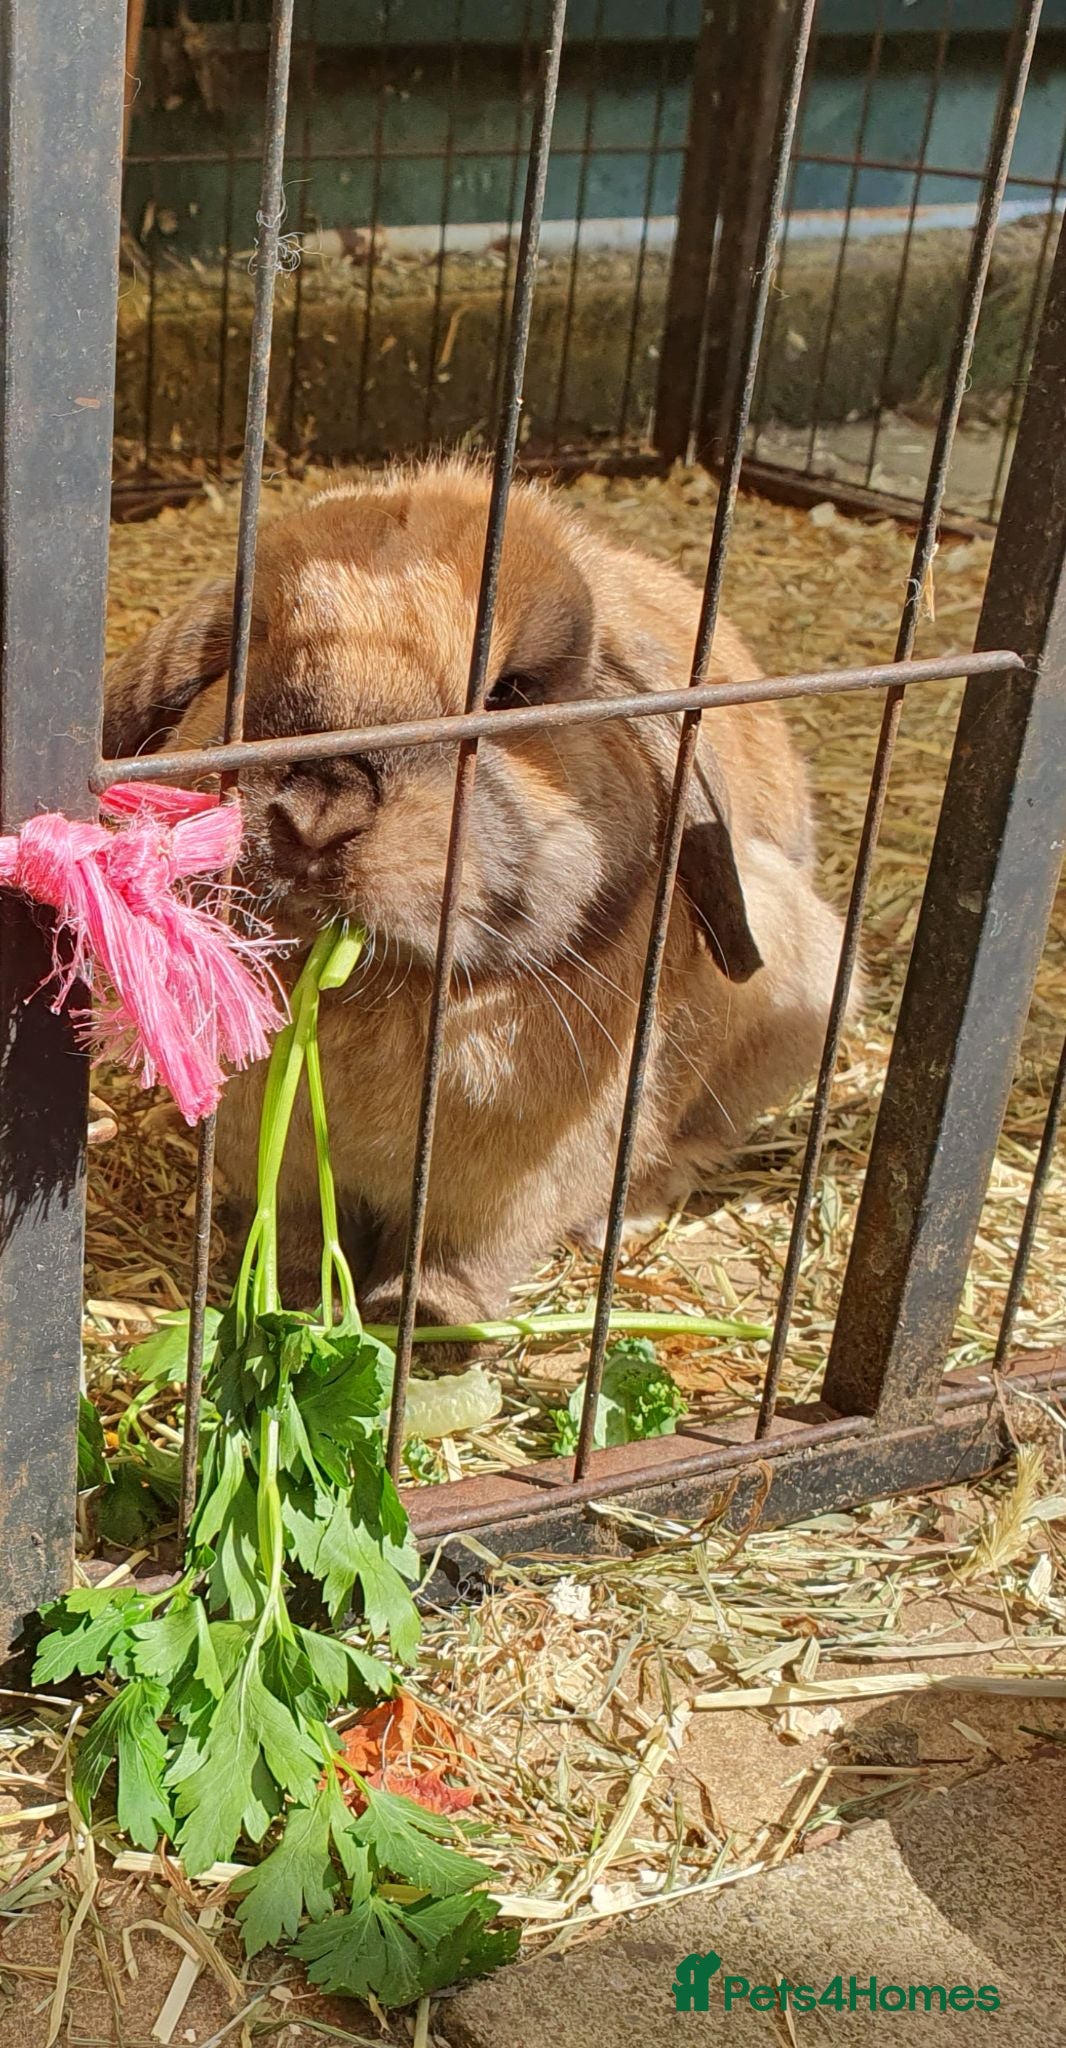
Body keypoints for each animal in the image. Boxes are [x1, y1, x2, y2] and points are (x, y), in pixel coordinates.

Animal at [104, 459, 852, 1342]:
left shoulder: (511, 1188)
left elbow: (468, 1255)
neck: (379, 994)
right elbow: (293, 1232)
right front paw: (295, 1297)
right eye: (248, 657)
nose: (317, 814)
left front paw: (428, 1326)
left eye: (512, 693)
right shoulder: (276, 1162)